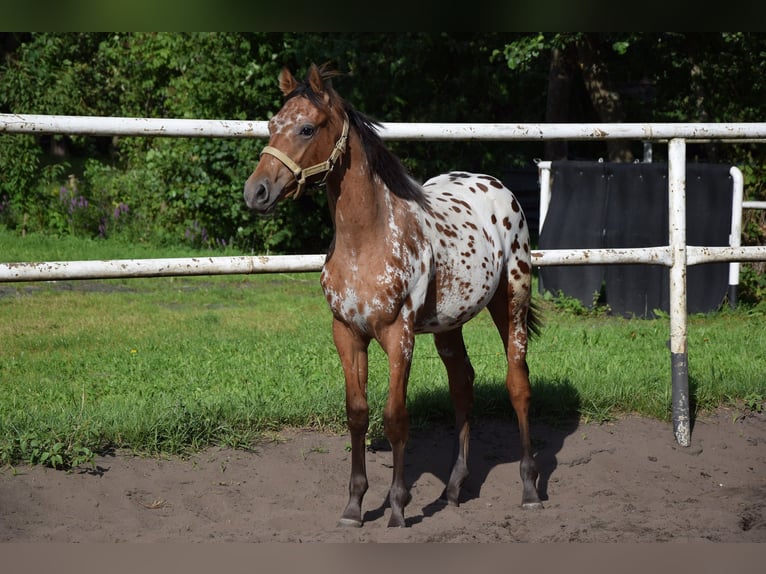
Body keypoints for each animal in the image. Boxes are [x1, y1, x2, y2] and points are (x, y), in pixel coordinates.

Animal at [244, 64, 543, 528]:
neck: (367, 240)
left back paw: (529, 489)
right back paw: (454, 488)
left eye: (308, 128)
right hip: (448, 325)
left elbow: (395, 417)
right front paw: (353, 506)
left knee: (518, 384)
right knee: (463, 386)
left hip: (511, 300)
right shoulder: (347, 333)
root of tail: (496, 186)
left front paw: (398, 507)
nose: (255, 192)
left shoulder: (398, 335)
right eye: (272, 125)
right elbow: (358, 413)